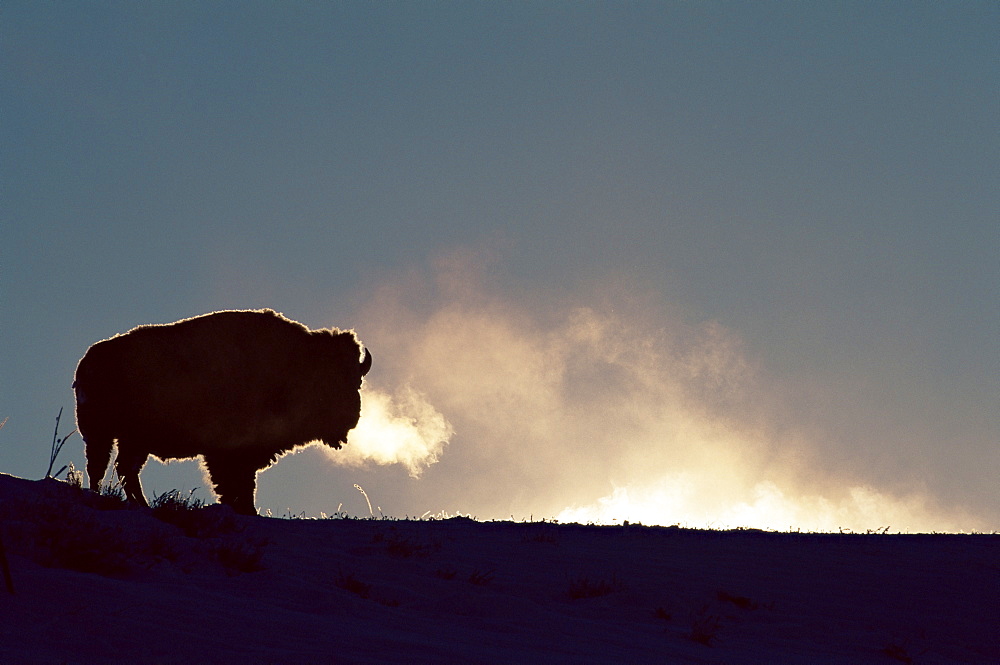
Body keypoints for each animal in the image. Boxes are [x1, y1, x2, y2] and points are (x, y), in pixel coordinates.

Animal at [74, 308, 372, 516]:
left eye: (357, 380)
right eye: (329, 382)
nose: (351, 417)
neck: (293, 366)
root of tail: (89, 359)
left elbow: (244, 484)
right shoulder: (226, 454)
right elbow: (234, 485)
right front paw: (247, 511)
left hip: (129, 440)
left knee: (121, 469)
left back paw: (138, 504)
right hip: (109, 435)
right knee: (107, 468)